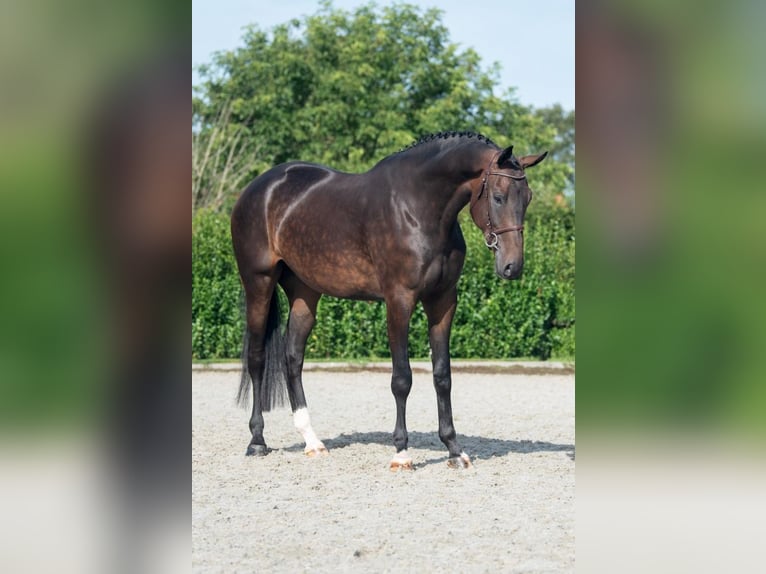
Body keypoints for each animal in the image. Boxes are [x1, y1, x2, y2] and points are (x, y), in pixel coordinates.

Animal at [231, 133, 548, 470]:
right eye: (498, 197)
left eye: (527, 198)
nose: (513, 266)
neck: (420, 207)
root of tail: (257, 189)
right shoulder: (399, 300)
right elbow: (402, 378)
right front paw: (401, 452)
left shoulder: (443, 301)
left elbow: (442, 375)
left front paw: (454, 449)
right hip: (258, 284)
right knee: (257, 359)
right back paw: (257, 441)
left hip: (305, 293)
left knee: (292, 358)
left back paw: (312, 442)